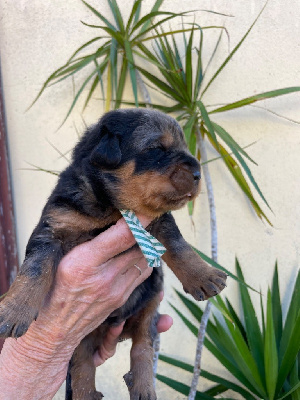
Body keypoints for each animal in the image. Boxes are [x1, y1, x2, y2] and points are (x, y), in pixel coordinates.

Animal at [0, 108, 226, 398]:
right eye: (156, 148)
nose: (198, 173)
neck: (112, 208)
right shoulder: (53, 227)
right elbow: (35, 269)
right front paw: (14, 310)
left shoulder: (158, 220)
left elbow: (178, 245)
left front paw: (204, 276)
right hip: (83, 333)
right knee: (81, 362)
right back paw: (87, 393)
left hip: (149, 306)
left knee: (142, 345)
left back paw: (142, 385)